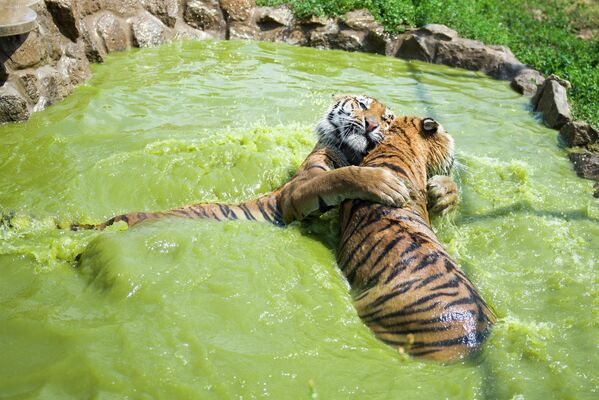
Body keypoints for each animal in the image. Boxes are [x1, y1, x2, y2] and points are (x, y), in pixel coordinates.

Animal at [74, 95, 460, 230]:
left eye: (388, 117)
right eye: (363, 106)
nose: (372, 124)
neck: (352, 151)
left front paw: (444, 192)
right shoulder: (296, 191)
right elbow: (339, 176)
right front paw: (382, 182)